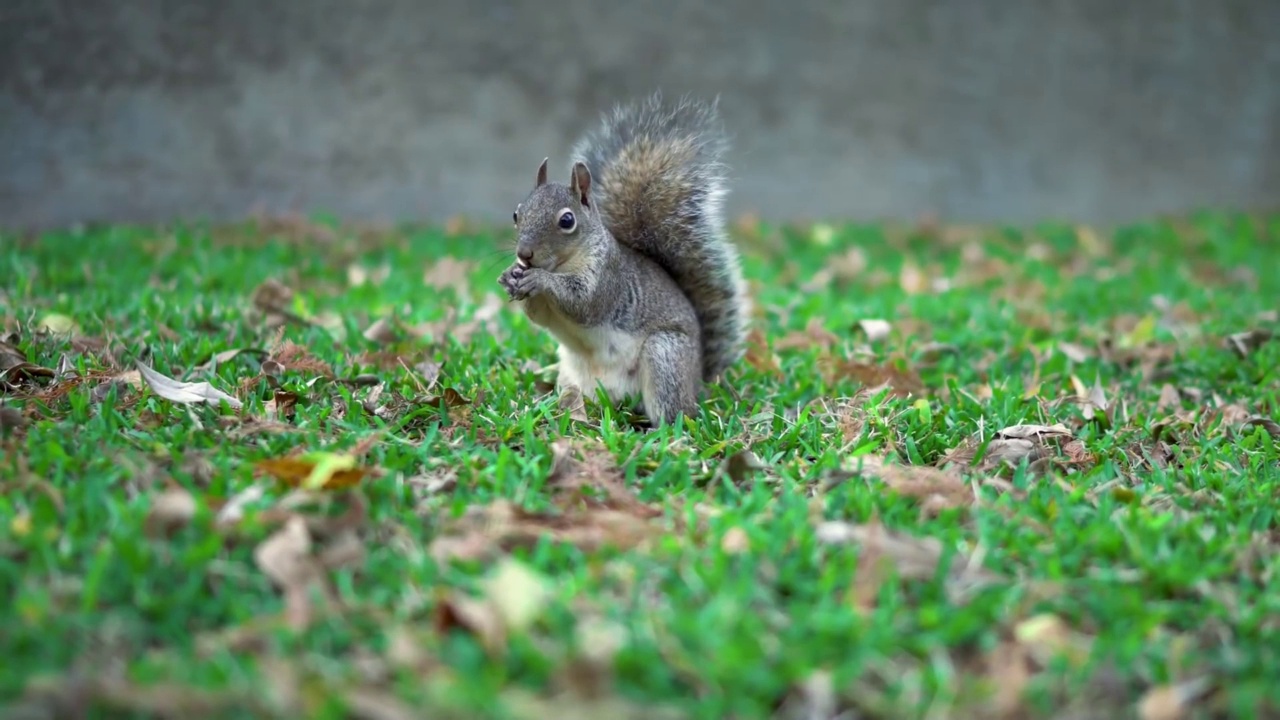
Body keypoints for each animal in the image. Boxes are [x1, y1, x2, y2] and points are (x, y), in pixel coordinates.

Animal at [494, 92, 747, 422]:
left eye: (567, 221)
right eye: (517, 213)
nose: (524, 254)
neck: (562, 264)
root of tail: (699, 381)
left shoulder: (607, 278)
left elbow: (583, 303)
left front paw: (539, 278)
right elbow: (540, 317)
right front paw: (511, 276)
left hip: (664, 354)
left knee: (676, 412)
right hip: (572, 377)